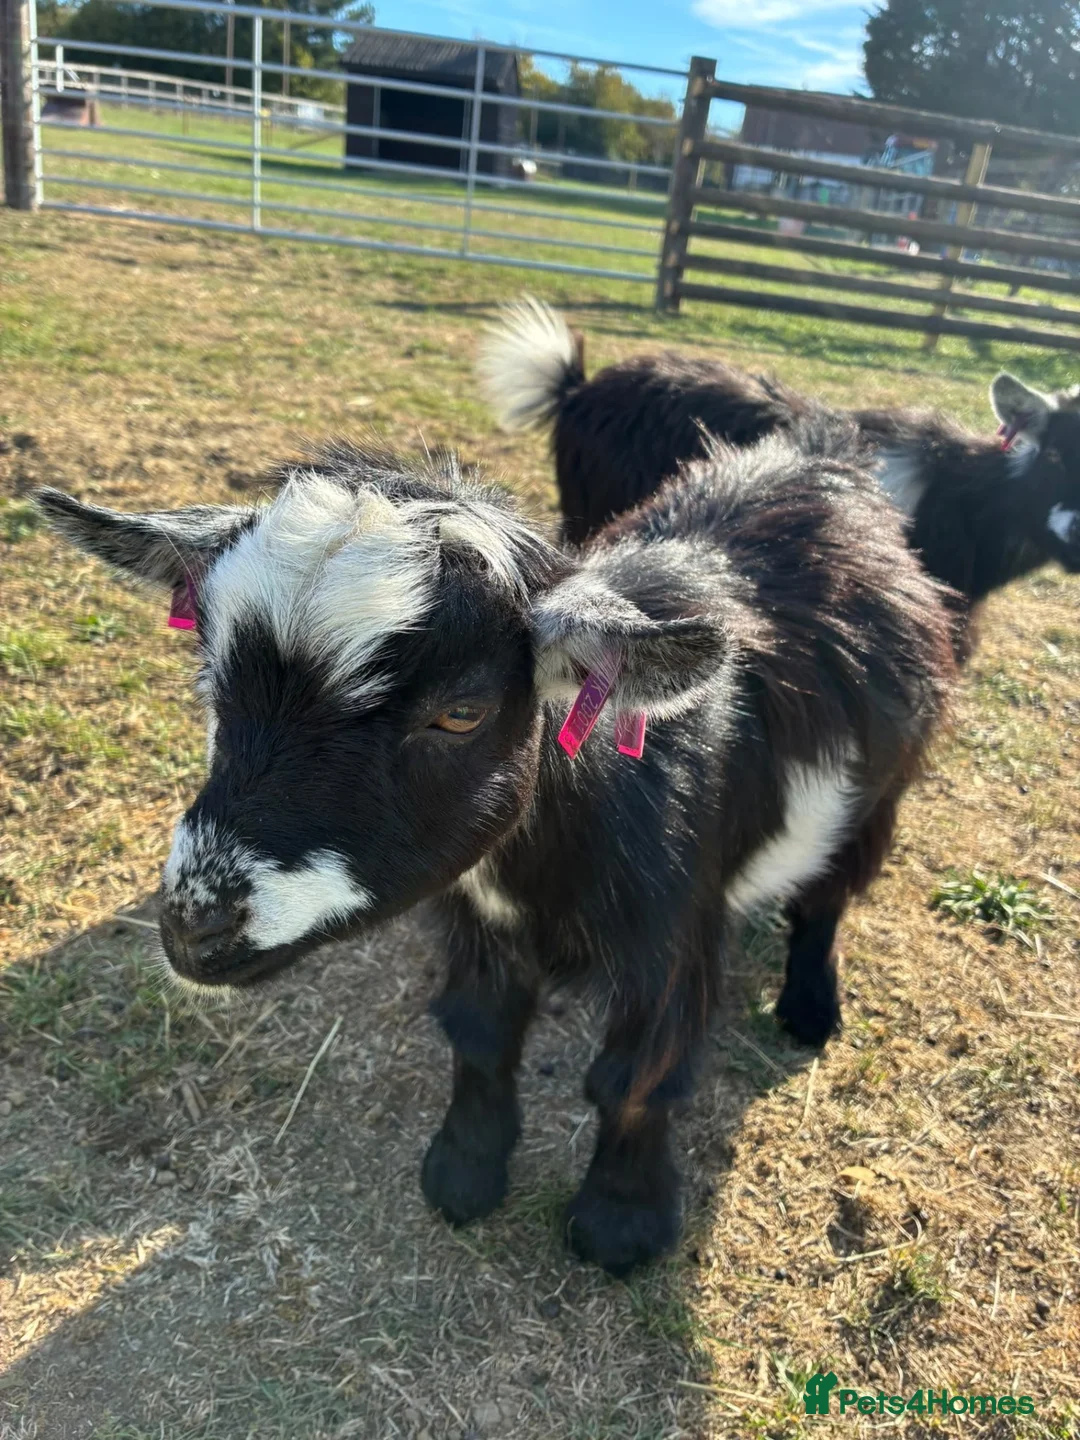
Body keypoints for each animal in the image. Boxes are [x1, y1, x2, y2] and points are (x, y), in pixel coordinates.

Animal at [37, 428, 954, 1276]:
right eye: (212, 676)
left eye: (461, 712)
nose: (196, 926)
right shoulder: (472, 914)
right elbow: (479, 1032)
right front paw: (465, 1173)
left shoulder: (676, 928)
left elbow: (637, 1076)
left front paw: (621, 1223)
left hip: (885, 785)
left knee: (832, 890)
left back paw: (809, 1006)